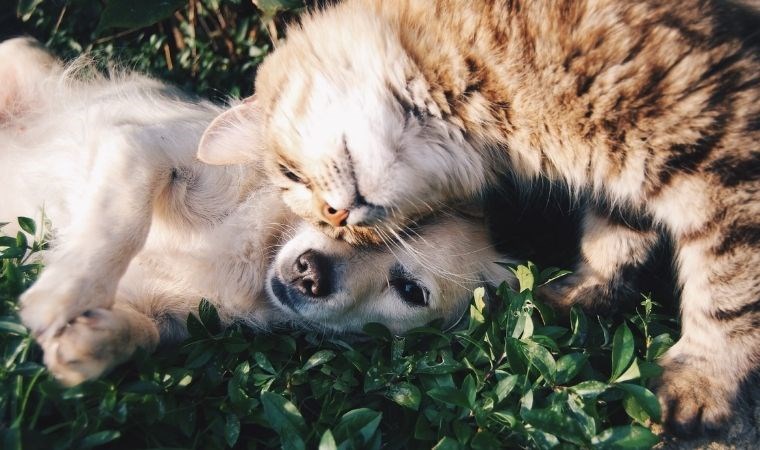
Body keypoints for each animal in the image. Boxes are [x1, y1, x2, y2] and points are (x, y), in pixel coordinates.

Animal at [1, 37, 510, 384]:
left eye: (410, 291)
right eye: (334, 212)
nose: (310, 273)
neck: (257, 253)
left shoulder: (171, 316)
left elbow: (144, 333)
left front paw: (92, 342)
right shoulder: (143, 148)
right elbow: (120, 223)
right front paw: (64, 294)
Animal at [196, 0, 760, 436]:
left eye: (291, 174)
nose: (337, 218)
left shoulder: (721, 152)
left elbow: (727, 292)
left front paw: (702, 382)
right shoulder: (625, 177)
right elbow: (613, 241)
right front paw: (578, 296)